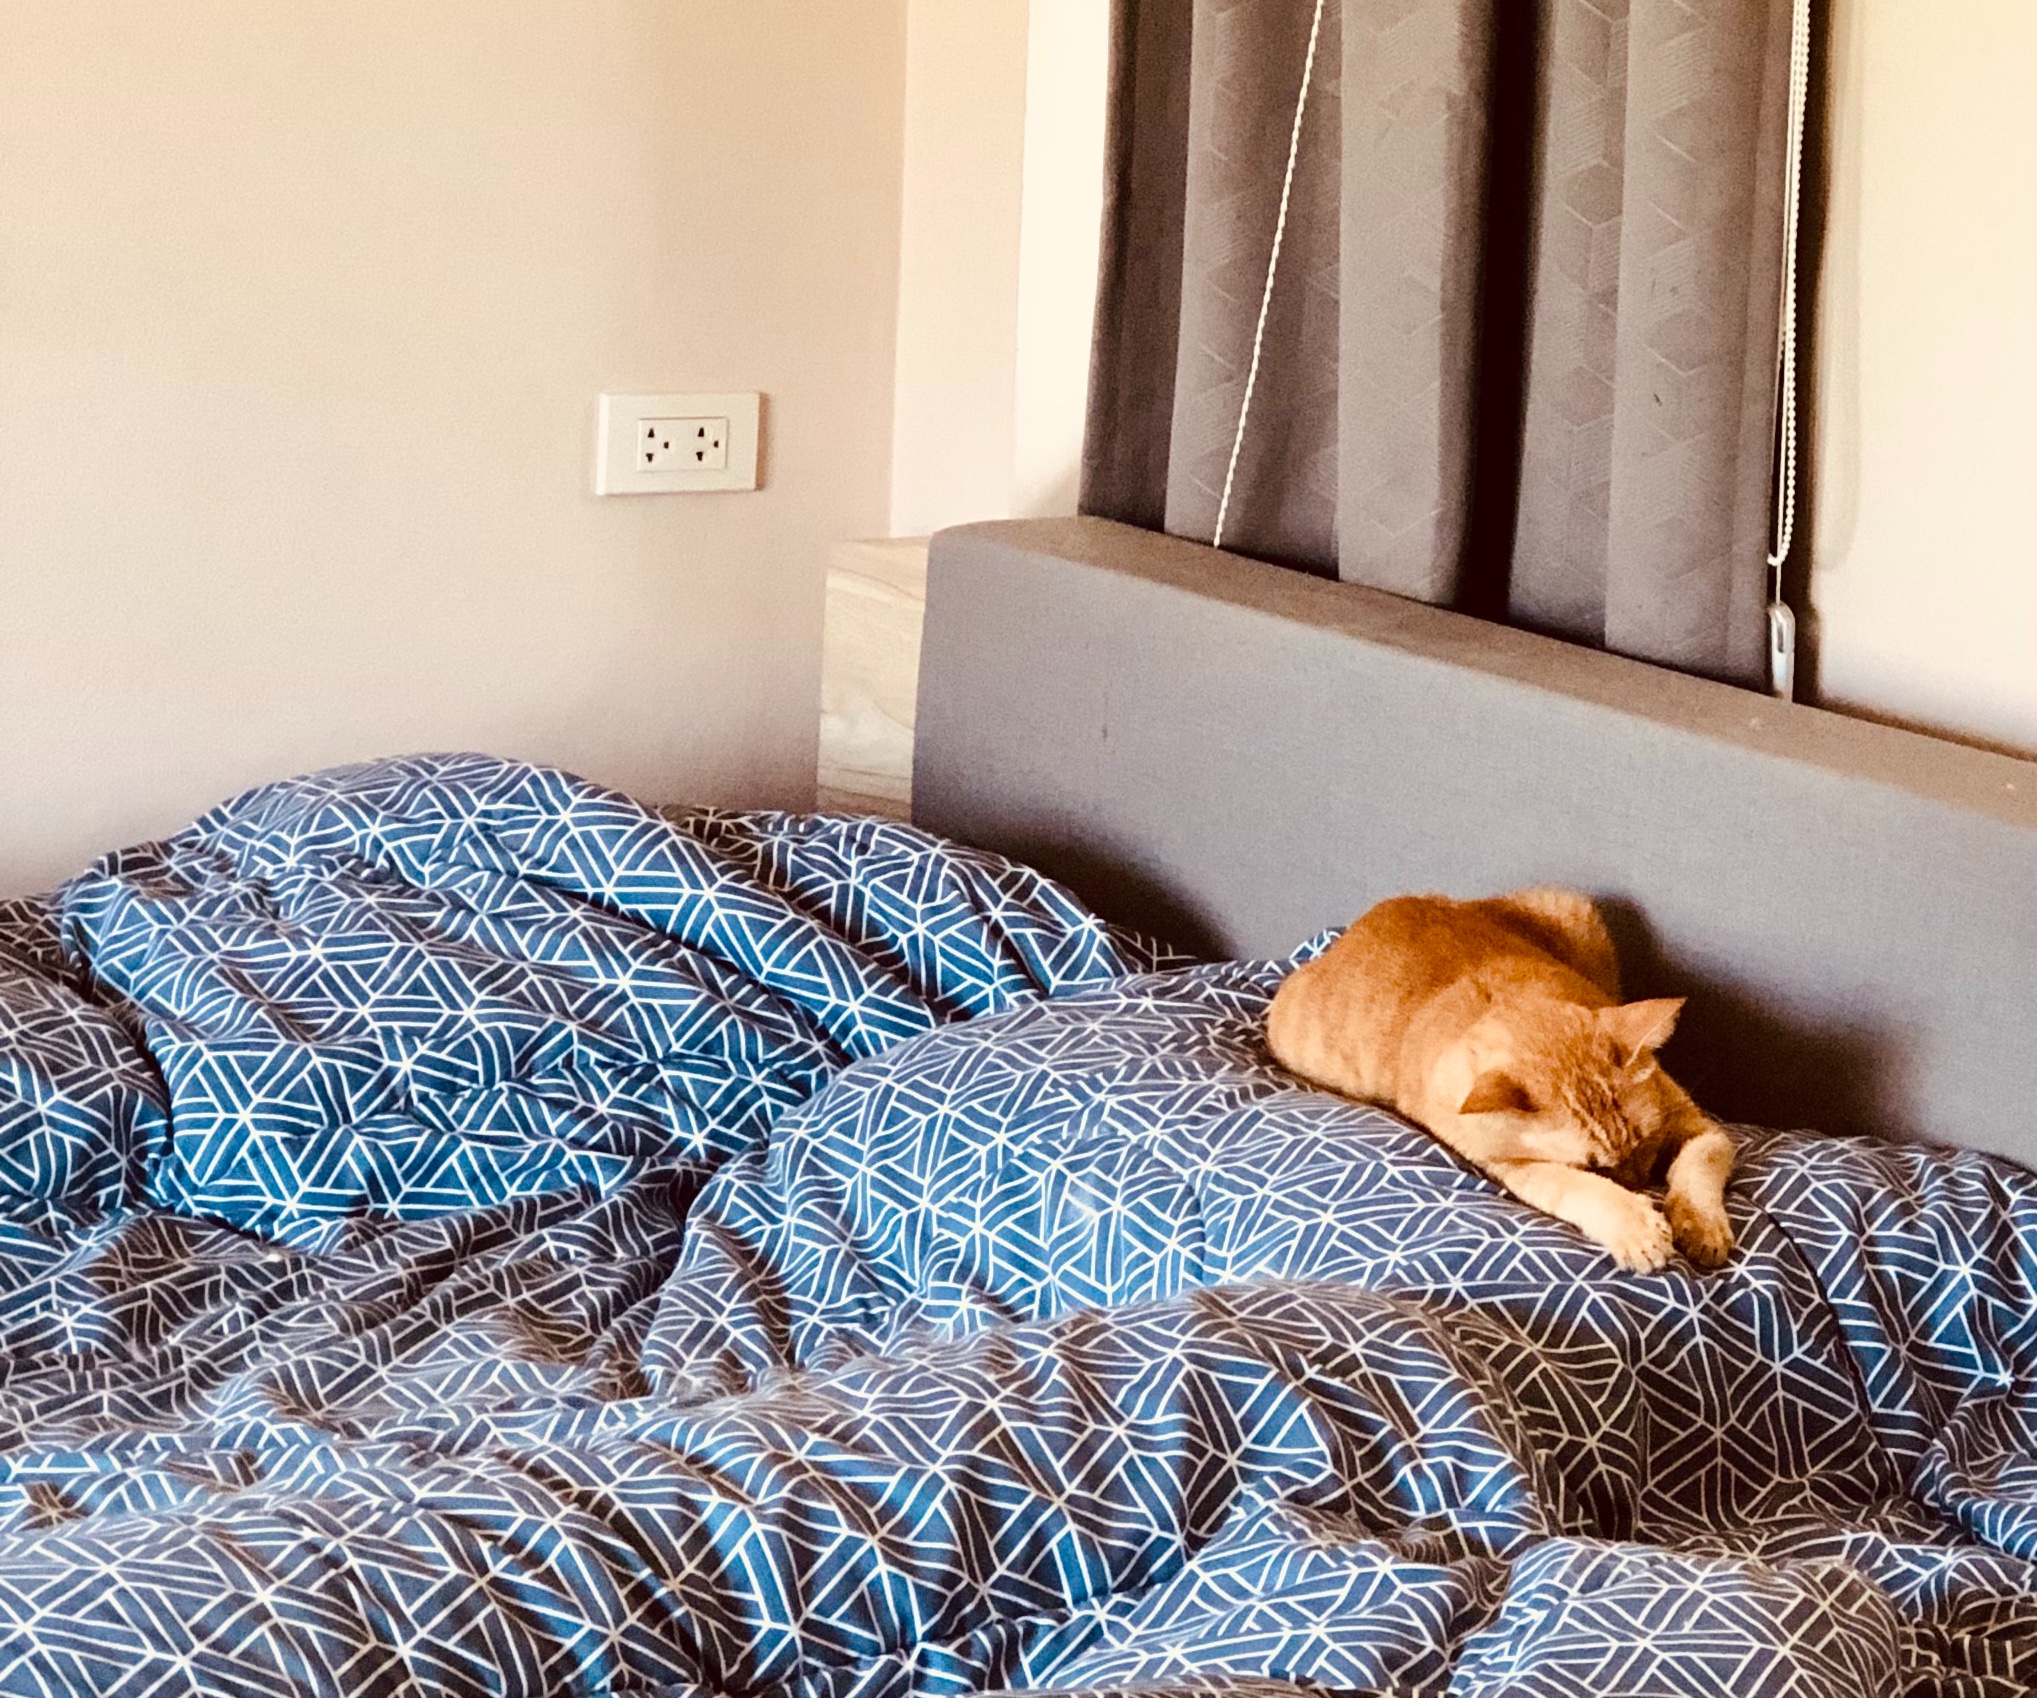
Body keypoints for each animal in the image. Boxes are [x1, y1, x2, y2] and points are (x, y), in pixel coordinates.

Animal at [1264, 888, 1734, 1272]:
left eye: (1647, 1142)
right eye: (1591, 1166)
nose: (1641, 1182)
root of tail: (1361, 923)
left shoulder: (1700, 1126)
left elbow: (1699, 1164)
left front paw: (1701, 1227)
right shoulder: (1516, 1167)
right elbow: (1581, 1190)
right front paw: (1636, 1226)